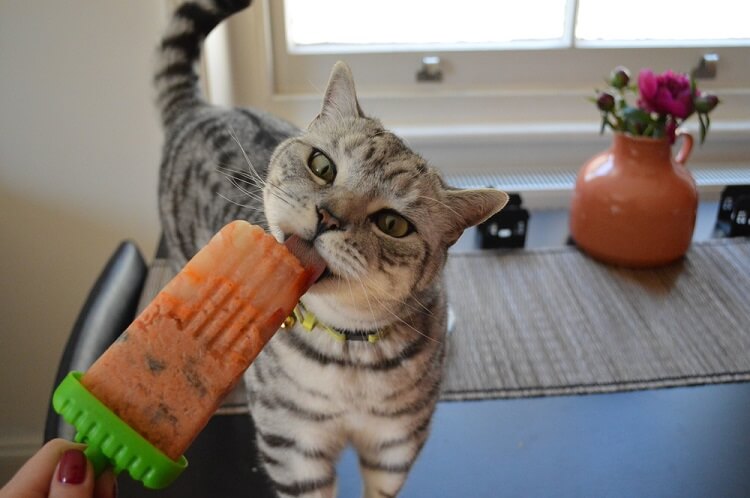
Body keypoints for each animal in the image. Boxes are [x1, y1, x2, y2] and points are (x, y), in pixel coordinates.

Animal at [155, 1, 508, 496]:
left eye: (393, 224)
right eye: (322, 165)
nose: (328, 217)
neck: (349, 352)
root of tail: (196, 109)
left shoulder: (394, 448)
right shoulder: (294, 448)